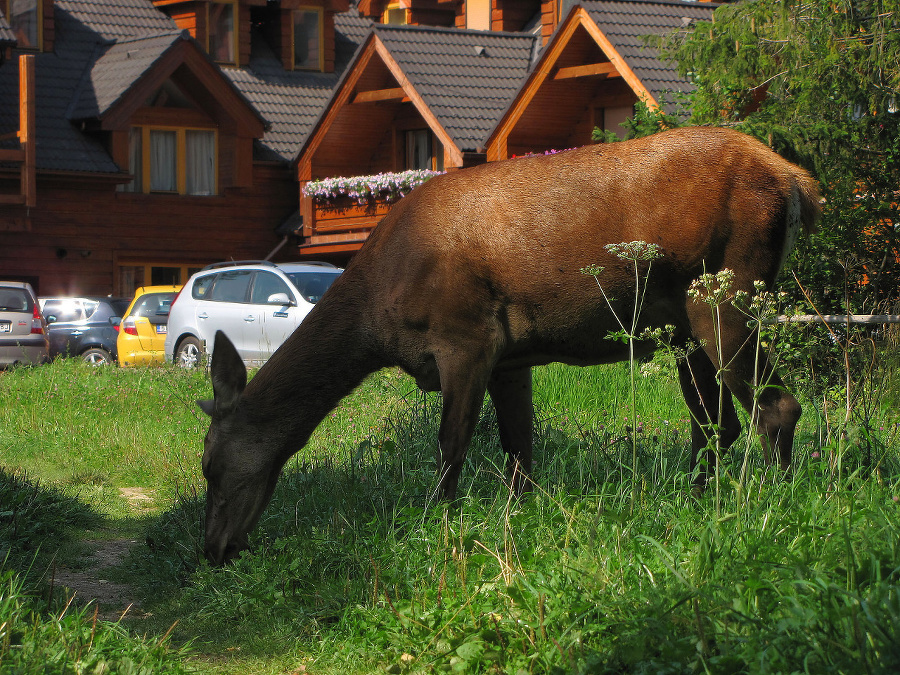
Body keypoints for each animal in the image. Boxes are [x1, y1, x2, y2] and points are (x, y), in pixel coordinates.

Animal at [200, 127, 820, 564]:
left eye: (210, 466)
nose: (213, 550)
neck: (376, 317)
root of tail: (795, 182)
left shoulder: (466, 336)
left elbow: (451, 445)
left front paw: (438, 521)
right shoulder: (511, 357)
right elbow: (519, 447)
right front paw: (516, 515)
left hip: (723, 290)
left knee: (775, 407)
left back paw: (775, 502)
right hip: (683, 326)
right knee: (717, 422)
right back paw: (691, 499)